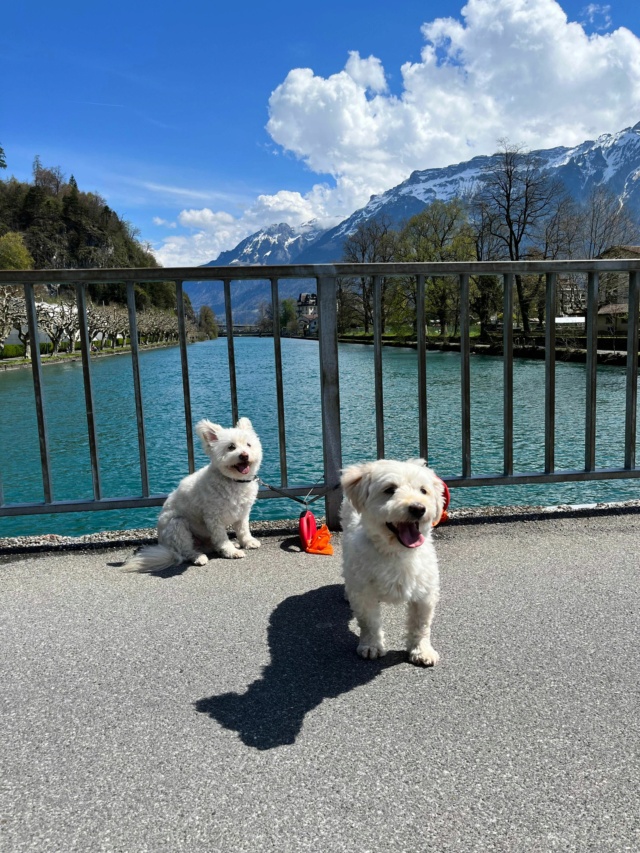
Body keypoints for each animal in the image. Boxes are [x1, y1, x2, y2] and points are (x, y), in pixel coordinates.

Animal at [122, 418, 262, 572]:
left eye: (248, 444)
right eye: (231, 447)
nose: (244, 455)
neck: (233, 481)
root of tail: (167, 548)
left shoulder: (242, 512)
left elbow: (243, 530)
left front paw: (247, 542)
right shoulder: (214, 517)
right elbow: (221, 537)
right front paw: (231, 552)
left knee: (210, 545)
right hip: (177, 525)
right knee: (186, 551)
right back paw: (198, 557)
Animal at [340, 460, 444, 664]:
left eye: (423, 490)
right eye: (390, 489)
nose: (418, 508)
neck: (396, 552)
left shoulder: (425, 593)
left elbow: (421, 624)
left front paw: (421, 650)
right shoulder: (364, 593)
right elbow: (369, 622)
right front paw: (371, 645)